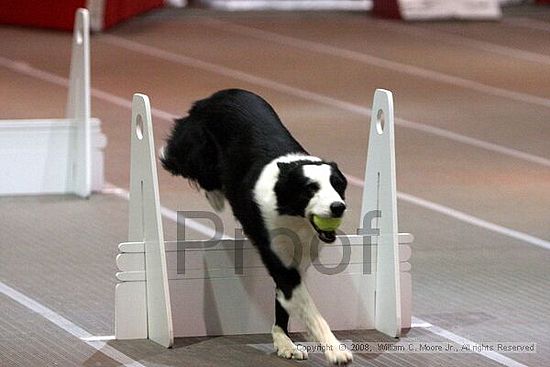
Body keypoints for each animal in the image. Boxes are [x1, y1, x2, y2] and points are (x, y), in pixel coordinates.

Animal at [162, 89, 354, 366]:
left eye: (338, 185)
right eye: (310, 189)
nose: (338, 207)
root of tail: (214, 96)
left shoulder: (297, 259)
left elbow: (285, 301)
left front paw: (284, 342)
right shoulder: (279, 259)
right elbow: (310, 309)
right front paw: (335, 350)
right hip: (195, 149)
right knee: (179, 159)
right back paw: (214, 194)